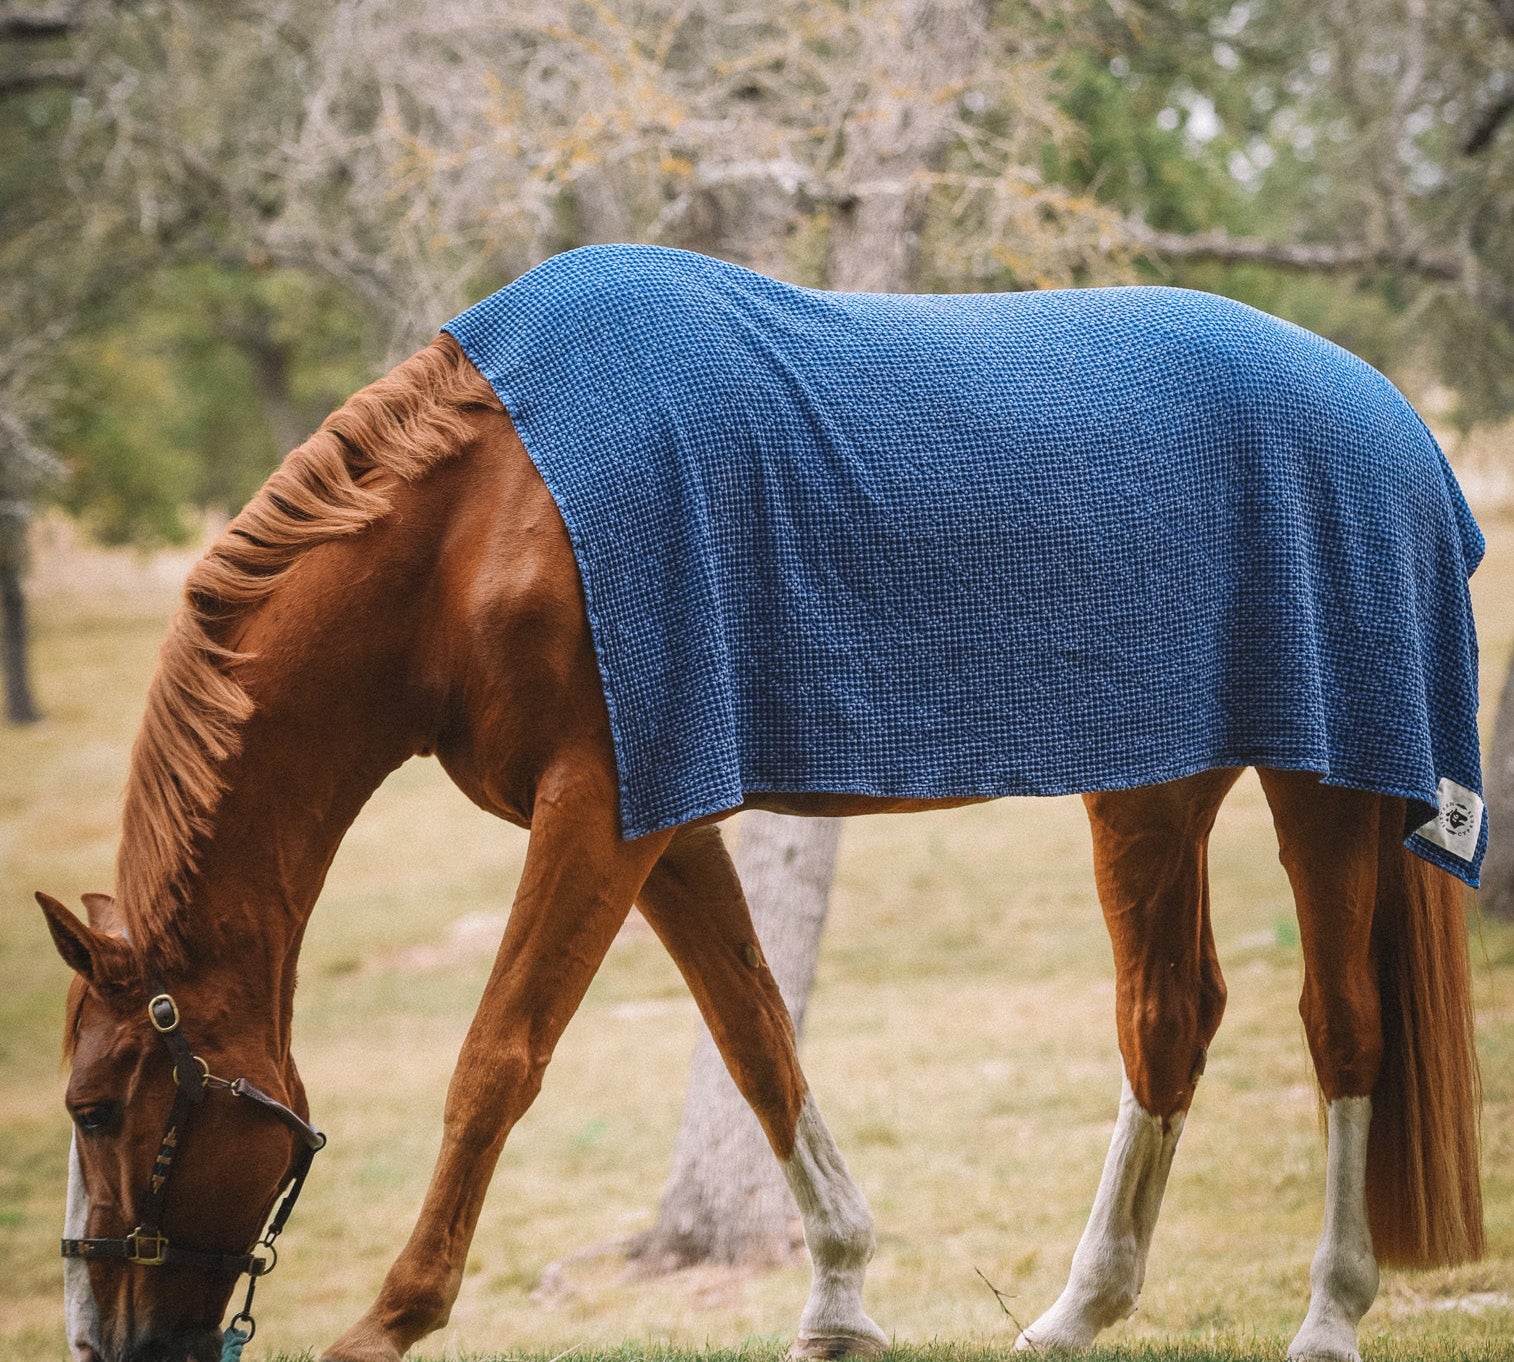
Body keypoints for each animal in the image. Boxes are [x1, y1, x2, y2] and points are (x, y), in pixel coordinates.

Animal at [39, 252, 1484, 1362]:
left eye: (96, 1110)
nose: (102, 1340)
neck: (481, 523)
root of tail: (1389, 415)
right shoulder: (665, 823)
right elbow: (755, 1039)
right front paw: (838, 1299)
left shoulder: (600, 816)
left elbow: (496, 1061)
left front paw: (391, 1320)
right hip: (1152, 788)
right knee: (1167, 1018)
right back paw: (1078, 1310)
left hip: (1322, 790)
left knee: (1340, 1026)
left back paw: (1326, 1318)